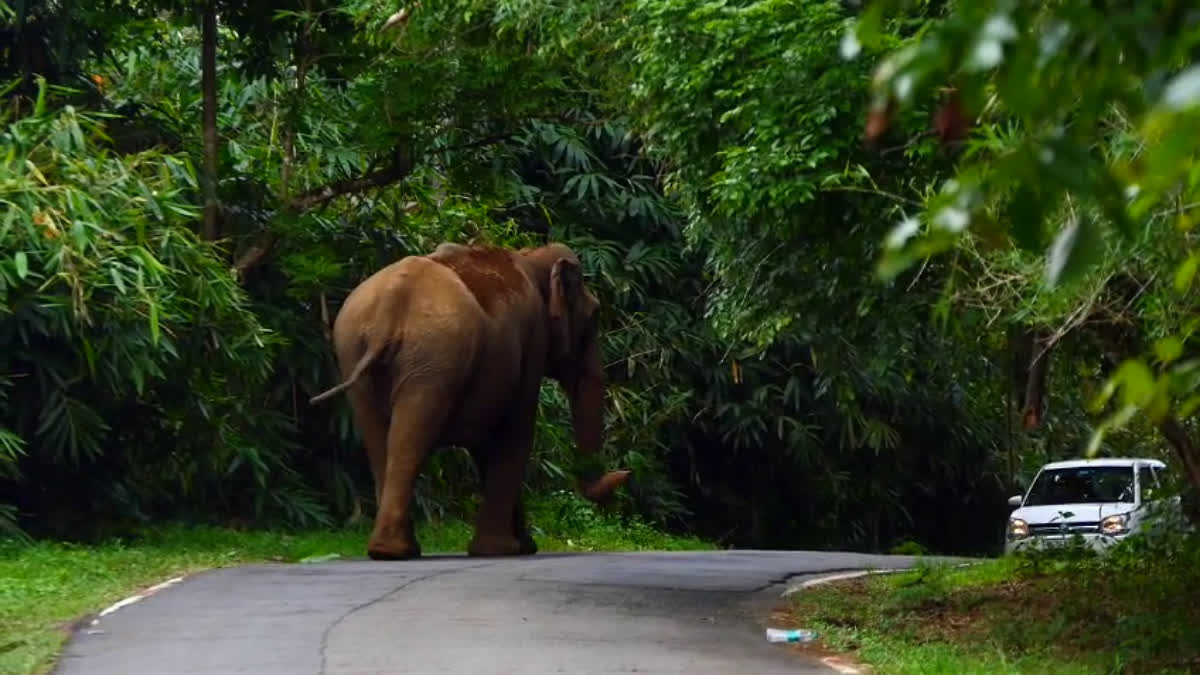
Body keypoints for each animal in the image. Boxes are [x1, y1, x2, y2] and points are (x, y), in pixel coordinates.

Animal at [307, 241, 628, 557]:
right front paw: (504, 549)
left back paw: (393, 550)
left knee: (379, 440)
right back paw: (395, 550)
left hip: (355, 352)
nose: (625, 472)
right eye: (595, 315)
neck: (530, 255)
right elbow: (515, 433)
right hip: (434, 358)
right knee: (409, 439)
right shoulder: (533, 338)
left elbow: (487, 441)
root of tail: (390, 306)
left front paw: (520, 546)